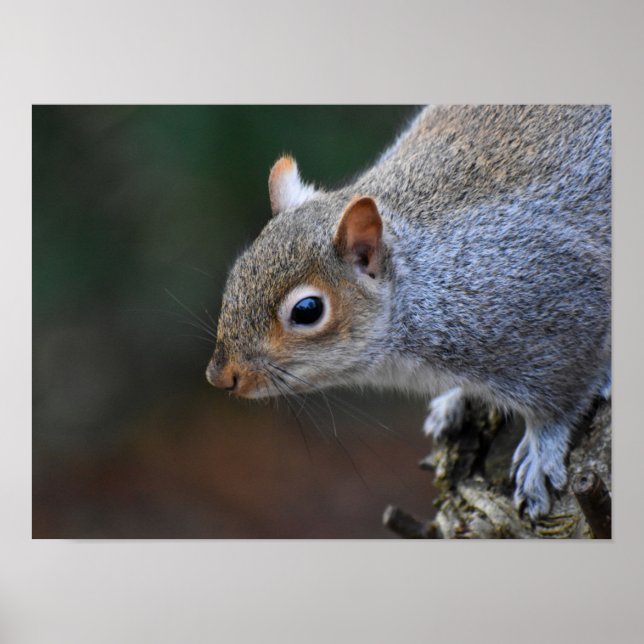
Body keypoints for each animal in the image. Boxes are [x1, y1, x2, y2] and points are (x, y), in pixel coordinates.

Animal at [206, 105, 611, 520]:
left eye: (307, 310)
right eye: (238, 272)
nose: (220, 376)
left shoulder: (553, 301)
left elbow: (560, 400)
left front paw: (541, 457)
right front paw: (455, 399)